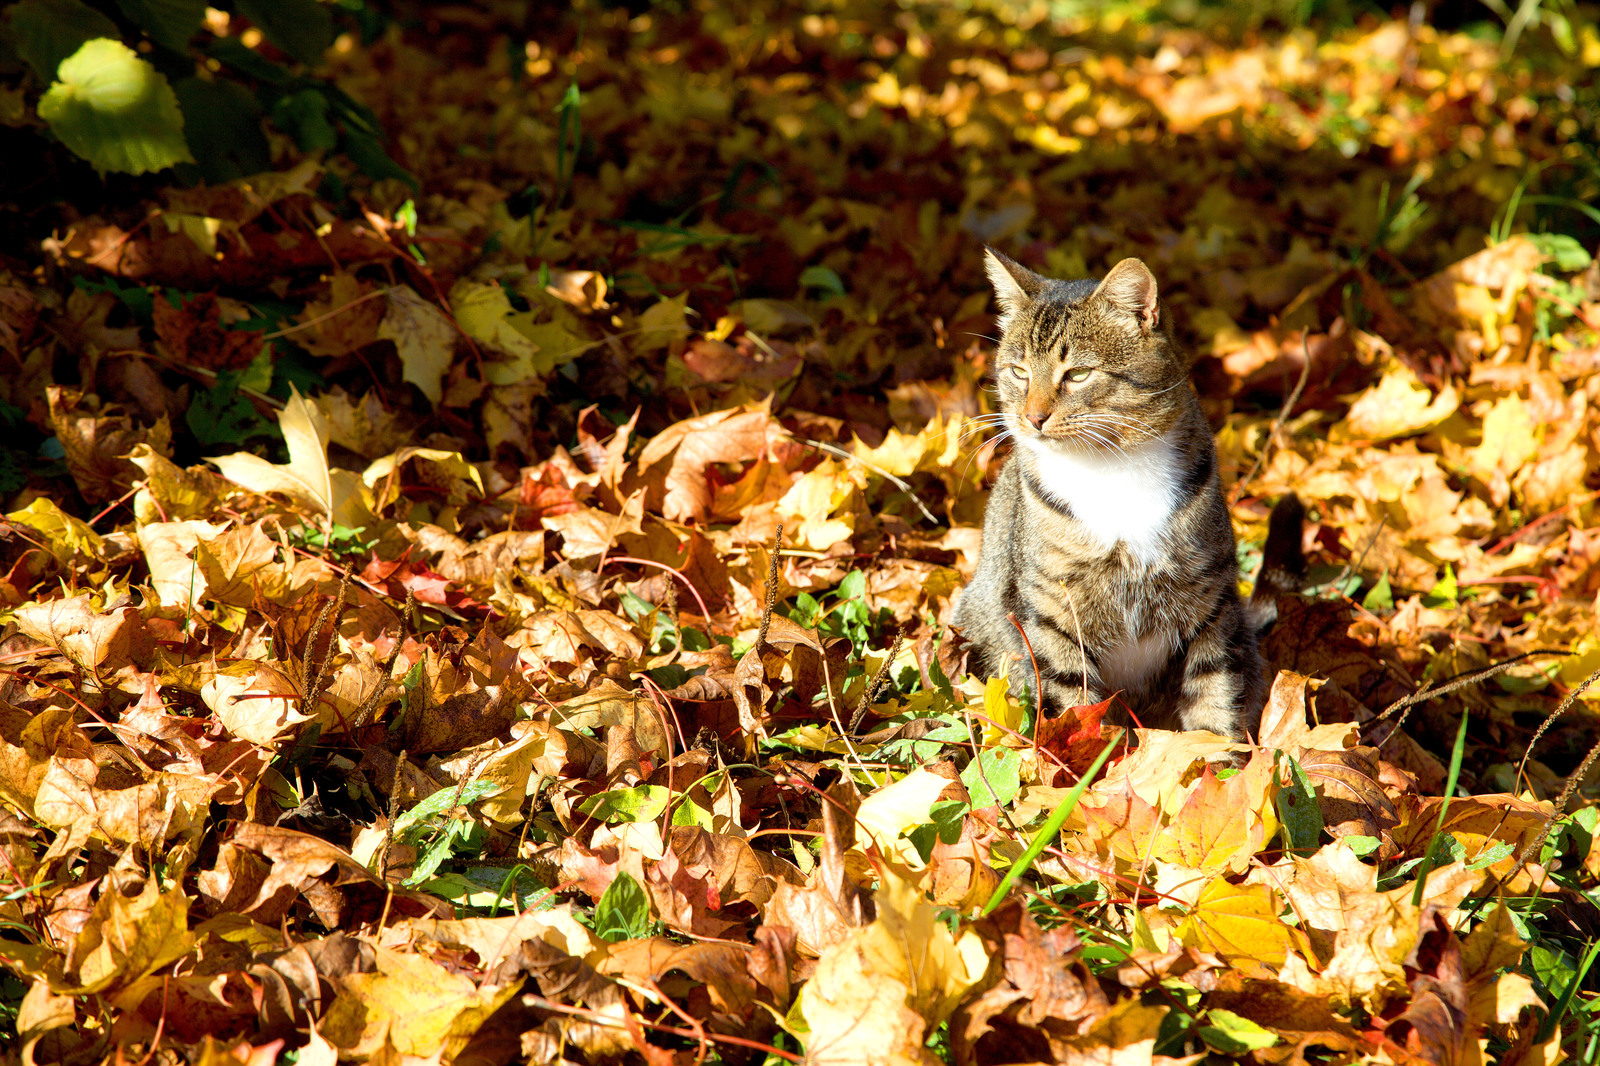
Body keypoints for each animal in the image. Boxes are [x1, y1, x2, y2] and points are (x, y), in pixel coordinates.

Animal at [947, 246, 1299, 739]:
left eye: (1078, 374)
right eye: (1018, 372)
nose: (1032, 417)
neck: (1110, 469)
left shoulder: (1209, 600)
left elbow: (1214, 697)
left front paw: (1222, 757)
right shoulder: (1052, 611)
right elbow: (1073, 706)